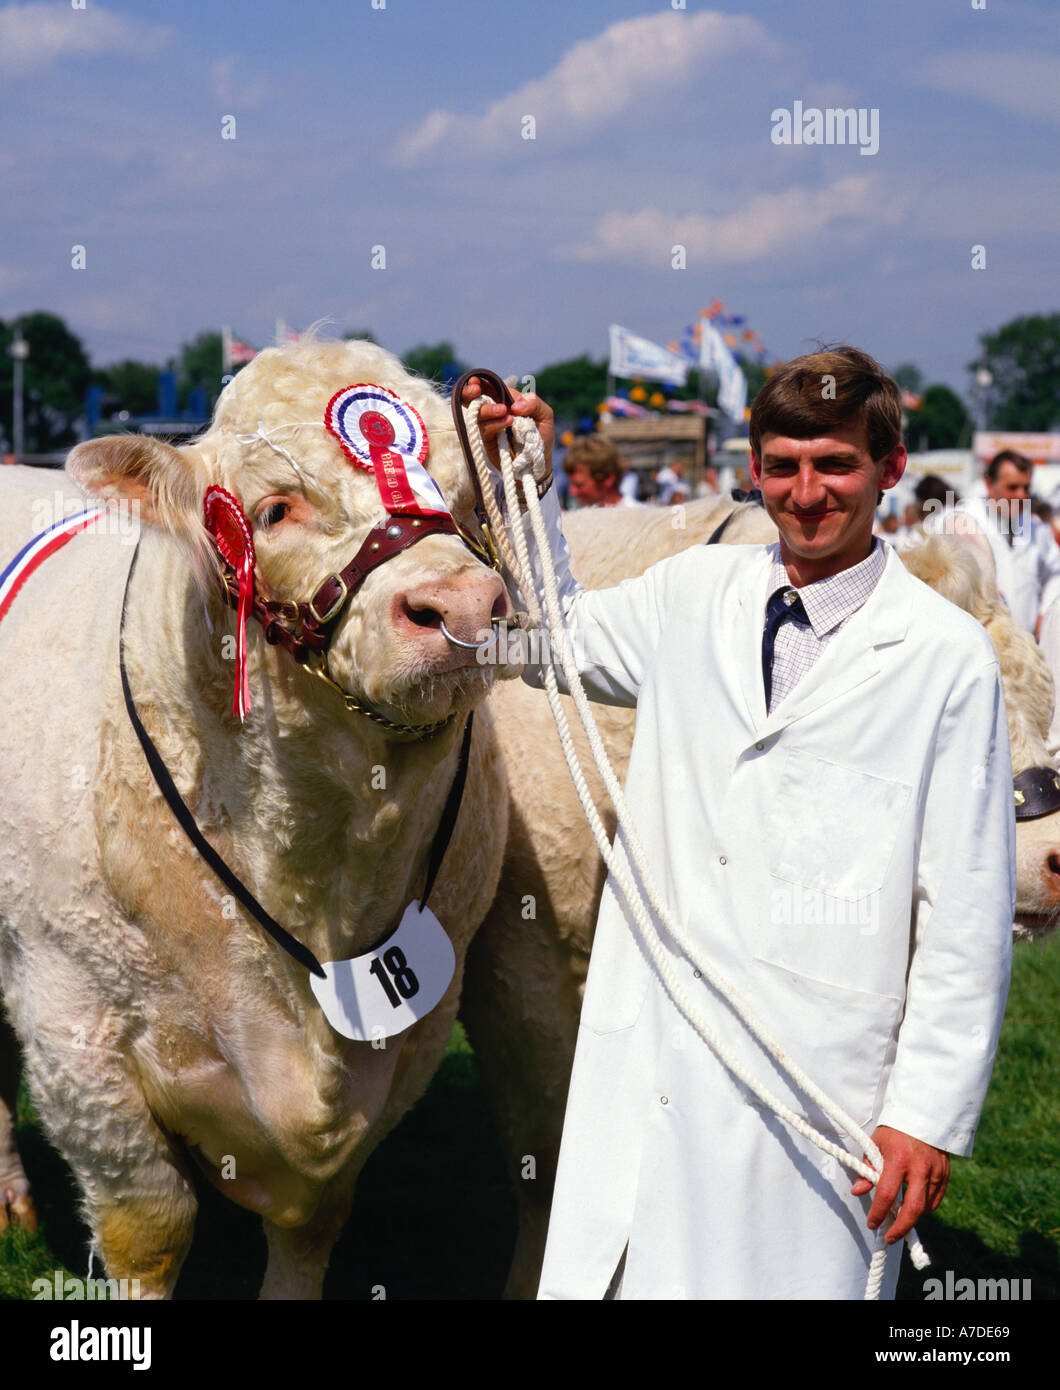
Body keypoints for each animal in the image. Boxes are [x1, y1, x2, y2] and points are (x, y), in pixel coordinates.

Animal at [0, 337, 517, 1298]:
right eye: (275, 509)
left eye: (466, 501)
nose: (464, 609)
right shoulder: (73, 1025)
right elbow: (149, 1227)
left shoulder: (412, 1039)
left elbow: (312, 1226)